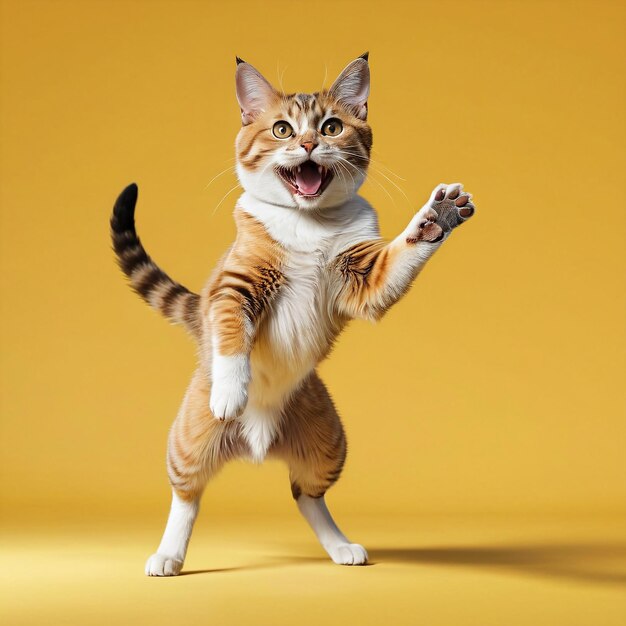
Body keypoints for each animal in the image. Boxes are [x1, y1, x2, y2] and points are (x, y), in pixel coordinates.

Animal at [111, 53, 472, 576]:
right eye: (282, 128)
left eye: (331, 126)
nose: (307, 143)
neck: (309, 224)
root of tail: (259, 444)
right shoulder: (235, 285)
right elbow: (231, 331)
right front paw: (231, 390)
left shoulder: (363, 279)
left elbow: (400, 256)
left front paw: (436, 218)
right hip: (189, 437)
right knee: (187, 493)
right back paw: (168, 554)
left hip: (328, 439)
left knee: (306, 494)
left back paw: (341, 546)